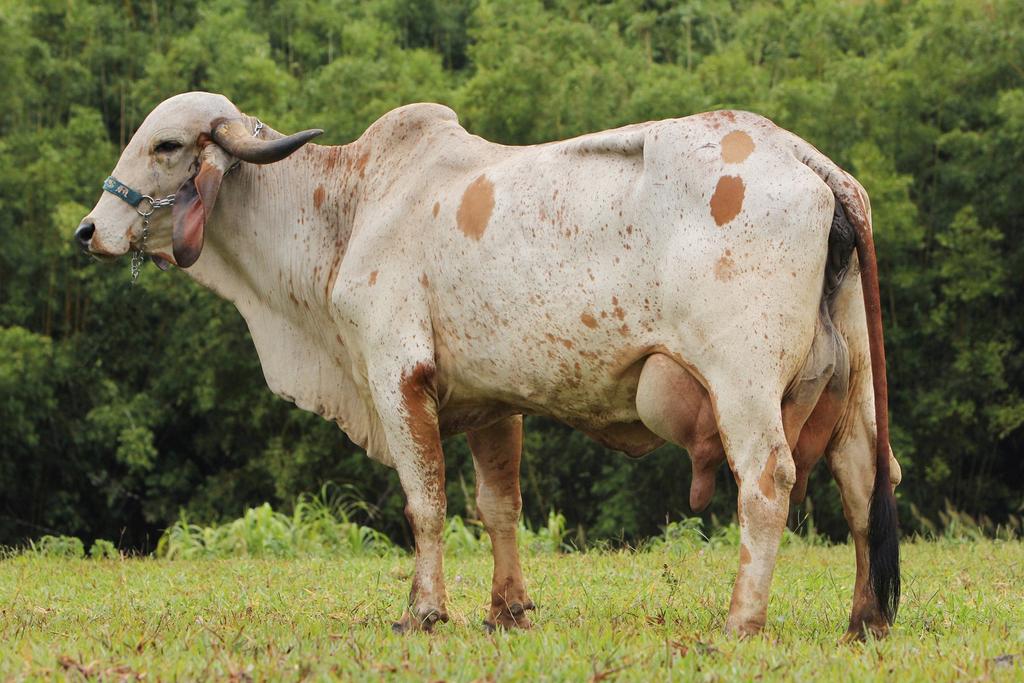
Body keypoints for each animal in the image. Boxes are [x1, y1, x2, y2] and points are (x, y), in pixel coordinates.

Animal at [75, 89, 901, 634]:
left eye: (166, 146)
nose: (89, 230)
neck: (349, 204)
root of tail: (809, 162)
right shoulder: (492, 401)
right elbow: (500, 506)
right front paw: (507, 609)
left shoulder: (397, 375)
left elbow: (427, 504)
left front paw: (424, 610)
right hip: (856, 384)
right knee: (865, 476)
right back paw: (864, 617)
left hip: (743, 382)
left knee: (767, 480)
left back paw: (740, 619)